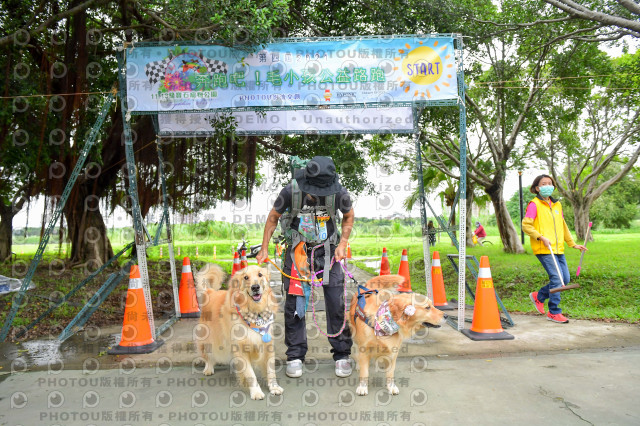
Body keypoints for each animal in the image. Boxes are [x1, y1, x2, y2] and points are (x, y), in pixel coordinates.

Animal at [195, 262, 282, 400]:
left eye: (260, 274)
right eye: (245, 277)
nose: (255, 287)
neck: (254, 311)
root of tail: (211, 292)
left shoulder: (267, 344)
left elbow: (270, 370)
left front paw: (274, 387)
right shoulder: (241, 348)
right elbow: (250, 374)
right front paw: (256, 392)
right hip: (208, 338)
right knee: (208, 355)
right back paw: (208, 368)